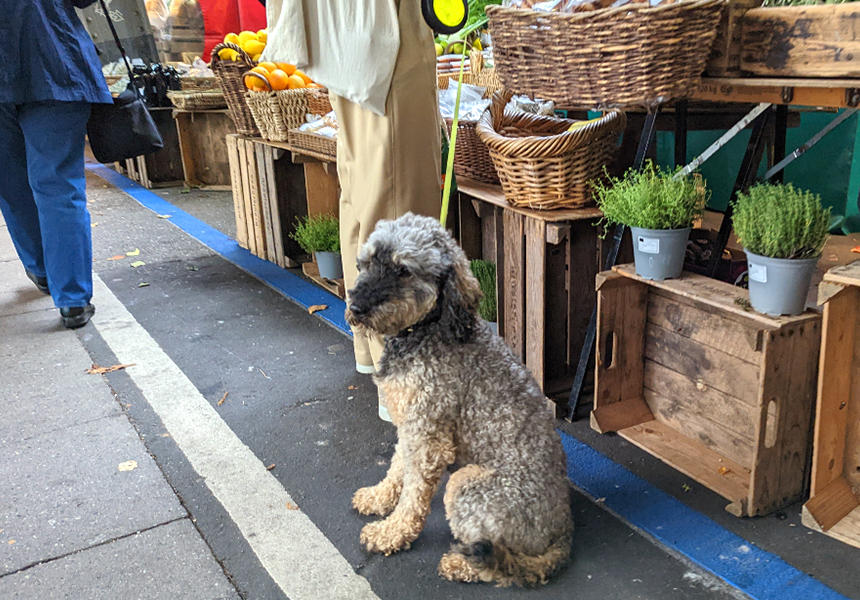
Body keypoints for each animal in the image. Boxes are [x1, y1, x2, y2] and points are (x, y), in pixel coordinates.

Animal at [342, 212, 572, 584]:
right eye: (368, 262)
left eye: (403, 270)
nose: (357, 307)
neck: (425, 330)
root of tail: (565, 530)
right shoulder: (410, 428)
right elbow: (397, 468)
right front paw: (380, 497)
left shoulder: (428, 441)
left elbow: (413, 498)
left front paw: (391, 532)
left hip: (465, 484)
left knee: (497, 562)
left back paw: (461, 564)